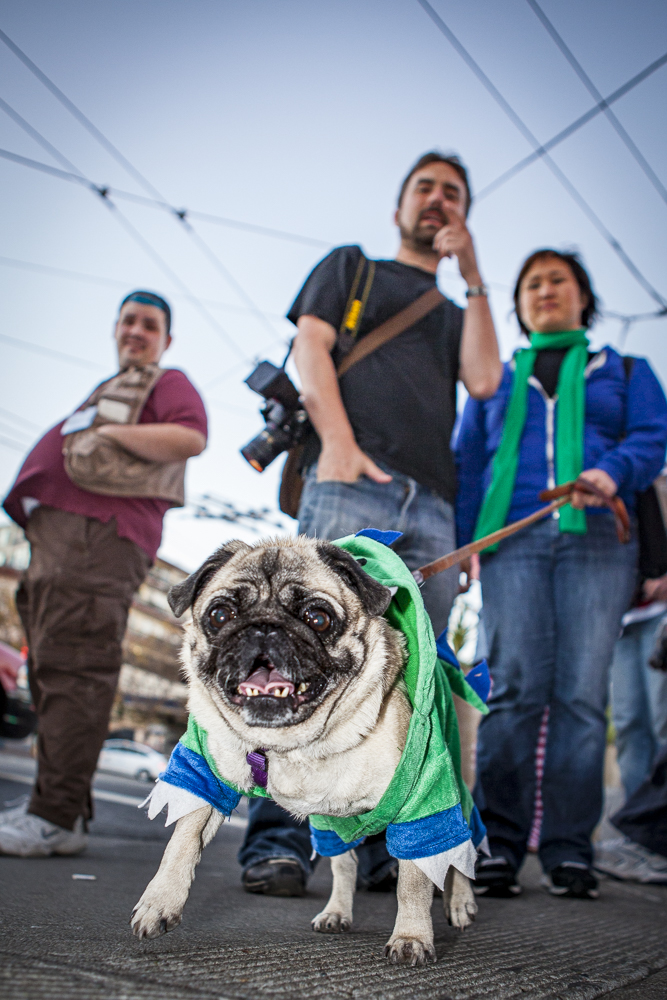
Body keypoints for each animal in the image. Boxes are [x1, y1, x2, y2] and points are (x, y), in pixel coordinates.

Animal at [130, 540, 478, 968]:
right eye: (220, 615)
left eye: (318, 618)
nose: (264, 627)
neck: (291, 745)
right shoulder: (207, 779)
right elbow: (181, 842)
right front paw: (159, 902)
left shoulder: (422, 798)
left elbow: (414, 881)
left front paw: (412, 936)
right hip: (329, 821)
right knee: (344, 864)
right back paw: (337, 912)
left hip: (456, 785)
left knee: (463, 850)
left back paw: (460, 904)